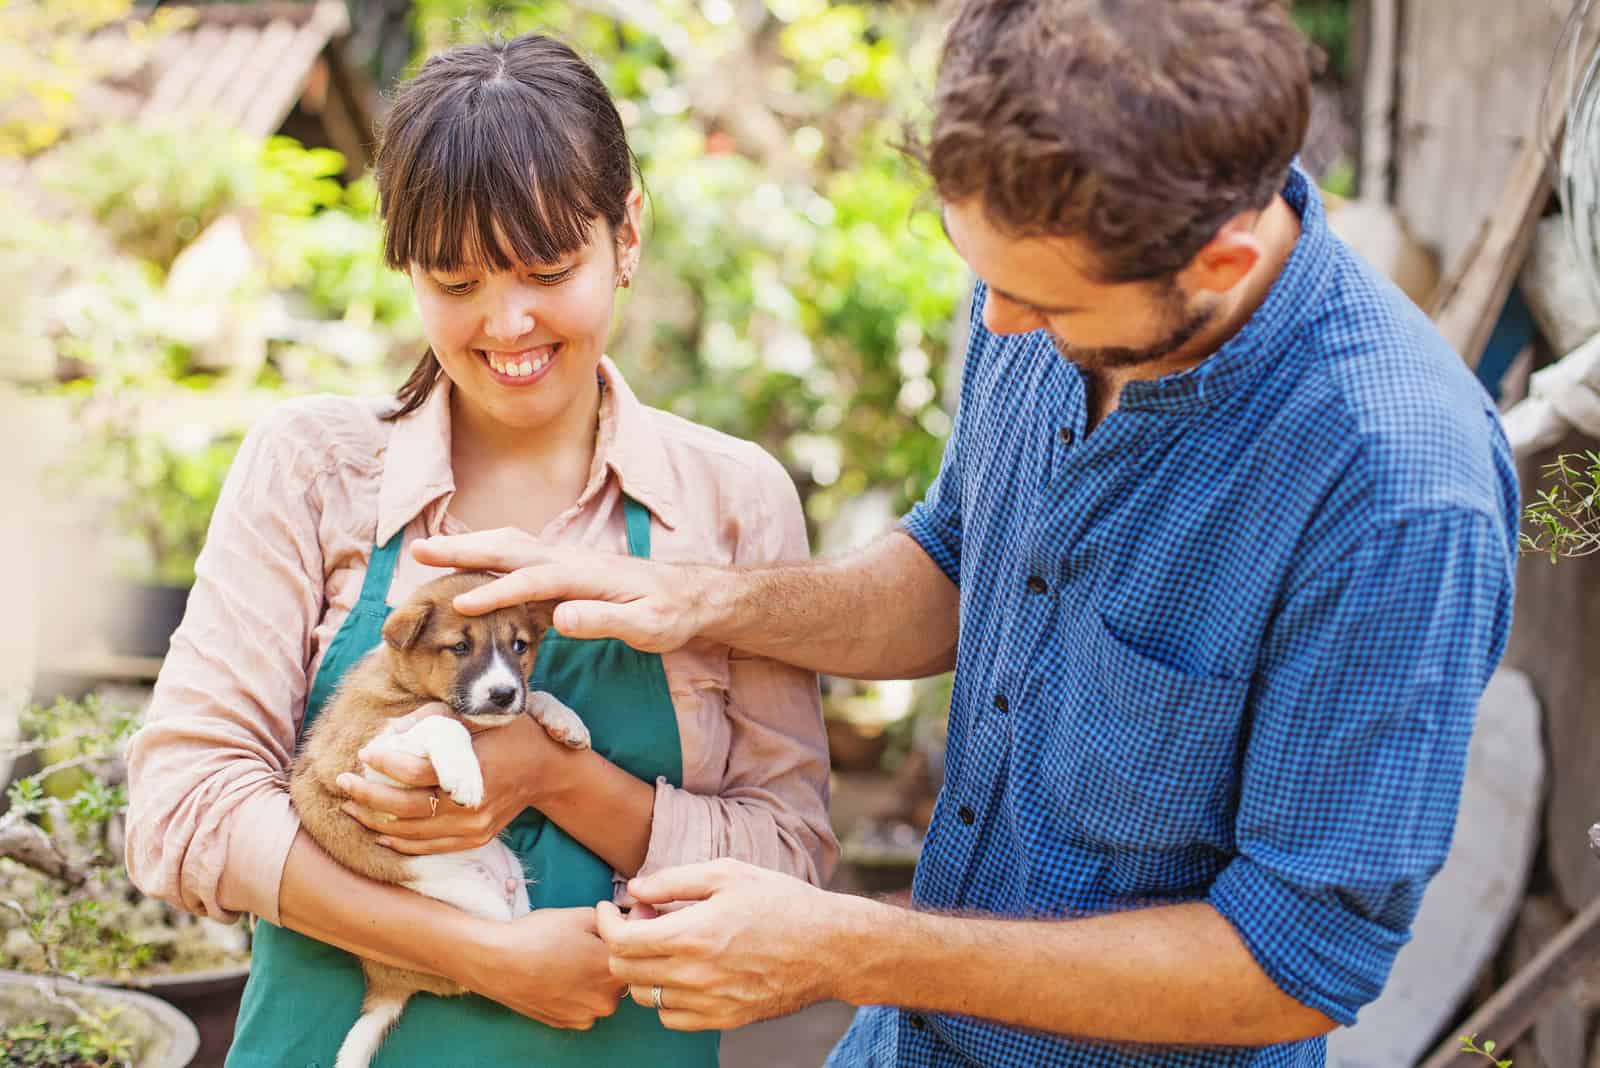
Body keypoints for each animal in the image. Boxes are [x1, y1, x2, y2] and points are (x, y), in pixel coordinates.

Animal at [288, 572, 588, 1068]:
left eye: (519, 646)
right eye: (460, 647)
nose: (503, 693)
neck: (405, 685)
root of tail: (388, 984)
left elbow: (534, 696)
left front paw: (565, 720)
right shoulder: (361, 757)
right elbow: (442, 723)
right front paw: (464, 773)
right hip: (482, 917)